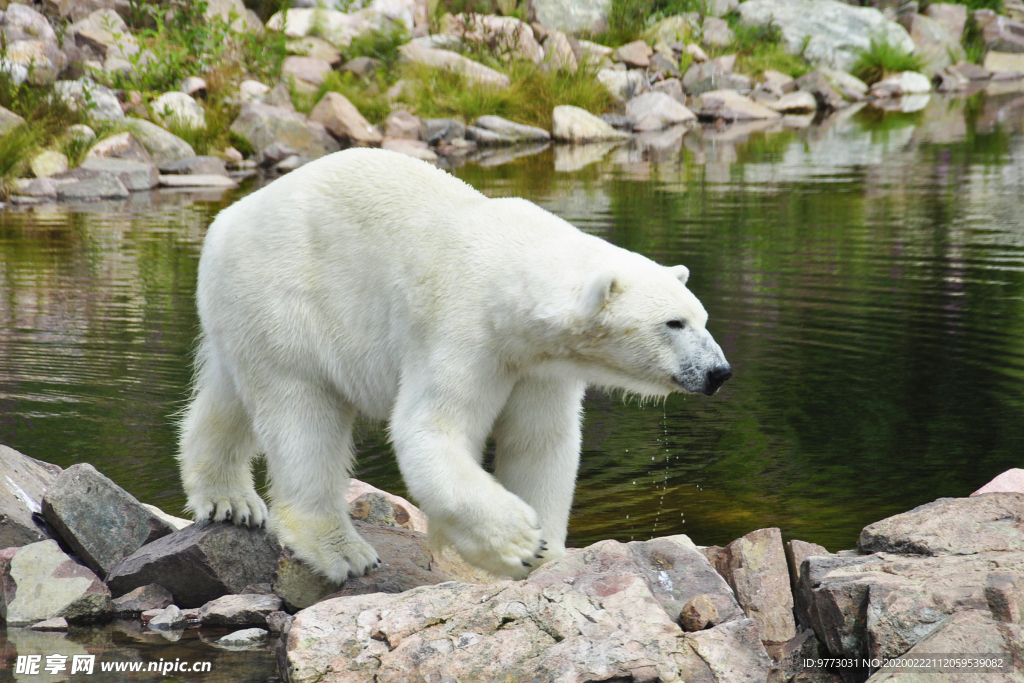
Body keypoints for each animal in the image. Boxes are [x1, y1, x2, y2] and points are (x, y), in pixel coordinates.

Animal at [180, 147, 733, 581]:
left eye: (701, 318)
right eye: (673, 323)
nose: (718, 373)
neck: (511, 279)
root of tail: (224, 223)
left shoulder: (542, 367)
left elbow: (541, 442)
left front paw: (550, 554)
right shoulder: (463, 330)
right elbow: (430, 431)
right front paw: (521, 543)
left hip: (244, 315)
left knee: (230, 397)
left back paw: (228, 500)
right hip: (288, 302)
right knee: (302, 415)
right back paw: (340, 550)